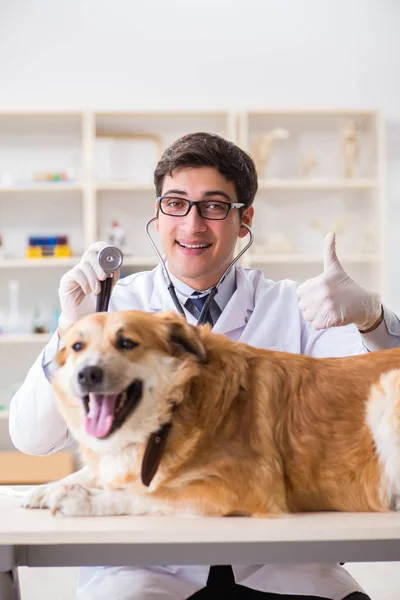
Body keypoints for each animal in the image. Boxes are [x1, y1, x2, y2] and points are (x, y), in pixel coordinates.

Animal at [24, 310, 400, 516]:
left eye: (127, 343)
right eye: (77, 347)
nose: (87, 374)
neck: (174, 411)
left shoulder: (242, 488)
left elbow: (148, 493)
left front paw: (84, 501)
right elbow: (97, 473)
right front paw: (49, 487)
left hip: (386, 391)